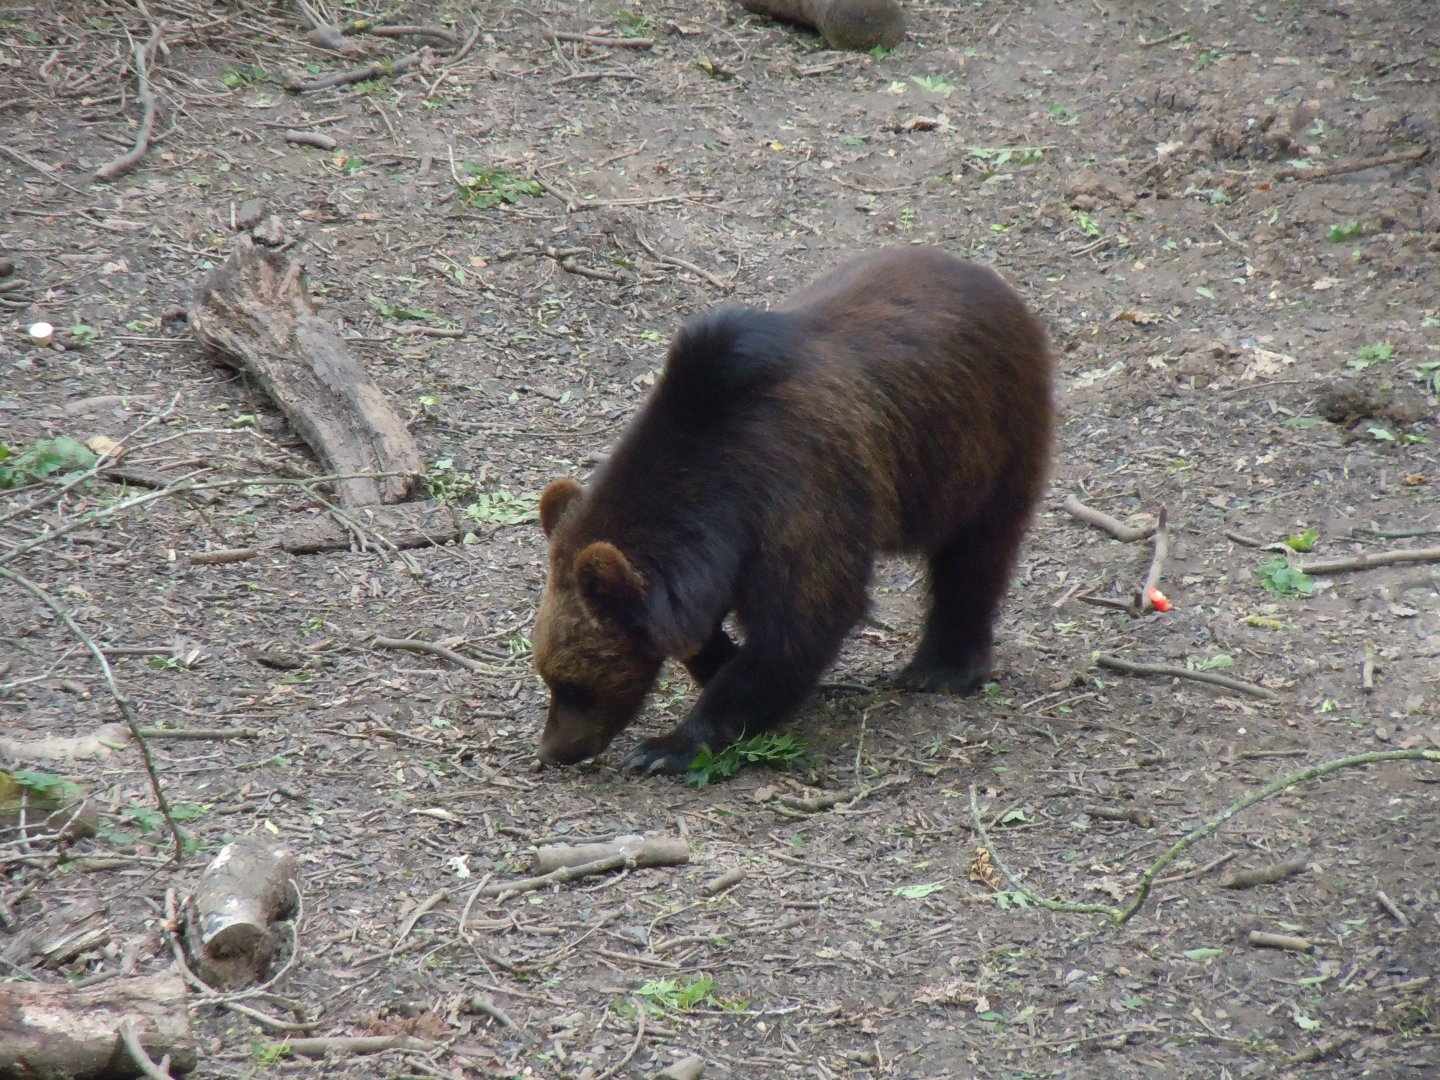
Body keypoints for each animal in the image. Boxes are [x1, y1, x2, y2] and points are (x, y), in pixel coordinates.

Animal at [532, 245, 1053, 775]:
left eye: (573, 684)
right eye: (548, 675)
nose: (553, 750)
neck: (722, 492)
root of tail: (989, 280)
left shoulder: (802, 493)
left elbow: (800, 622)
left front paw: (664, 747)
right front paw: (721, 662)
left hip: (981, 442)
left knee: (974, 556)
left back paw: (942, 666)